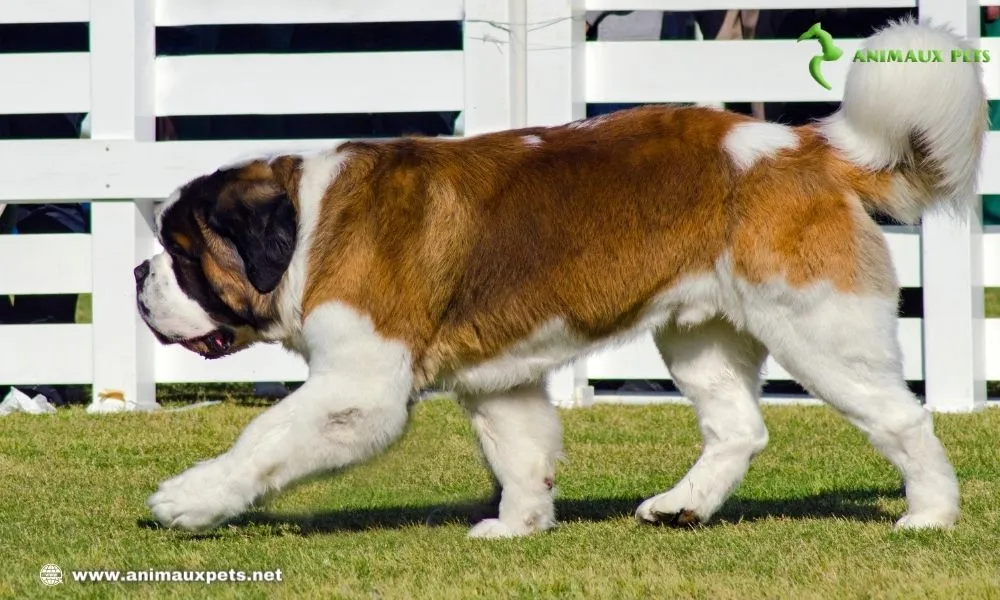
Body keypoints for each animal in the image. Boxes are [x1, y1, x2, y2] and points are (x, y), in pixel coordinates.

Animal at [133, 21, 984, 540]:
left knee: (901, 417)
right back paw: (683, 505)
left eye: (182, 251)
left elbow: (266, 437)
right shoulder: (497, 380)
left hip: (817, 327)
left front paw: (190, 499)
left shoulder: (358, 389)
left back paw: (932, 513)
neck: (307, 224)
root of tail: (802, 146)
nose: (139, 272)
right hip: (699, 333)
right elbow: (520, 449)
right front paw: (518, 524)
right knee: (738, 427)